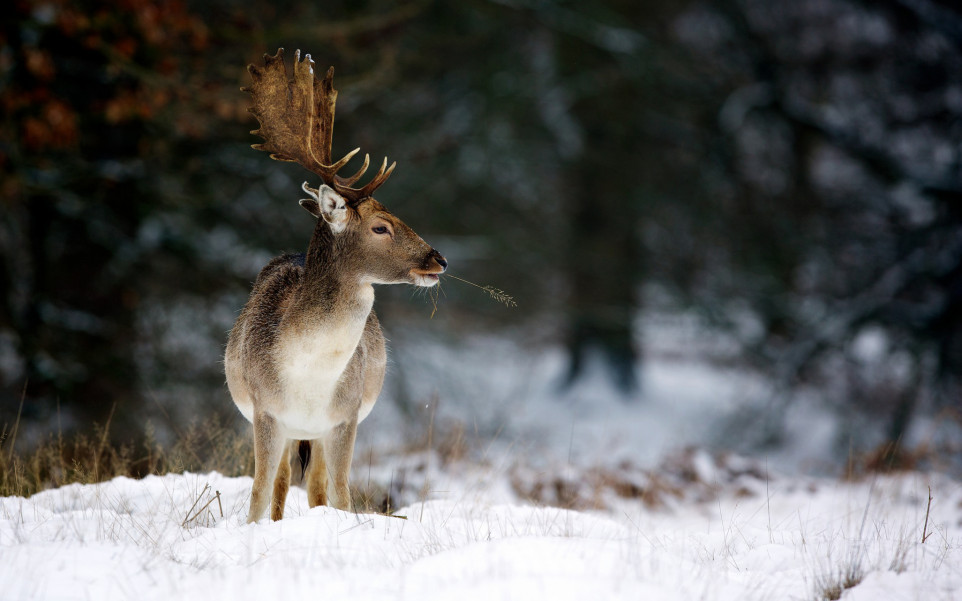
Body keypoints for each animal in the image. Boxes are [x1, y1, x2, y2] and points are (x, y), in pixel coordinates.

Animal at [225, 49, 446, 524]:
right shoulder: (265, 411)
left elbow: (342, 494)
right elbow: (257, 492)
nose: (438, 259)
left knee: (316, 486)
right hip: (288, 428)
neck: (309, 374)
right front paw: (253, 528)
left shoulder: (346, 416)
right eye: (381, 226)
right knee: (283, 482)